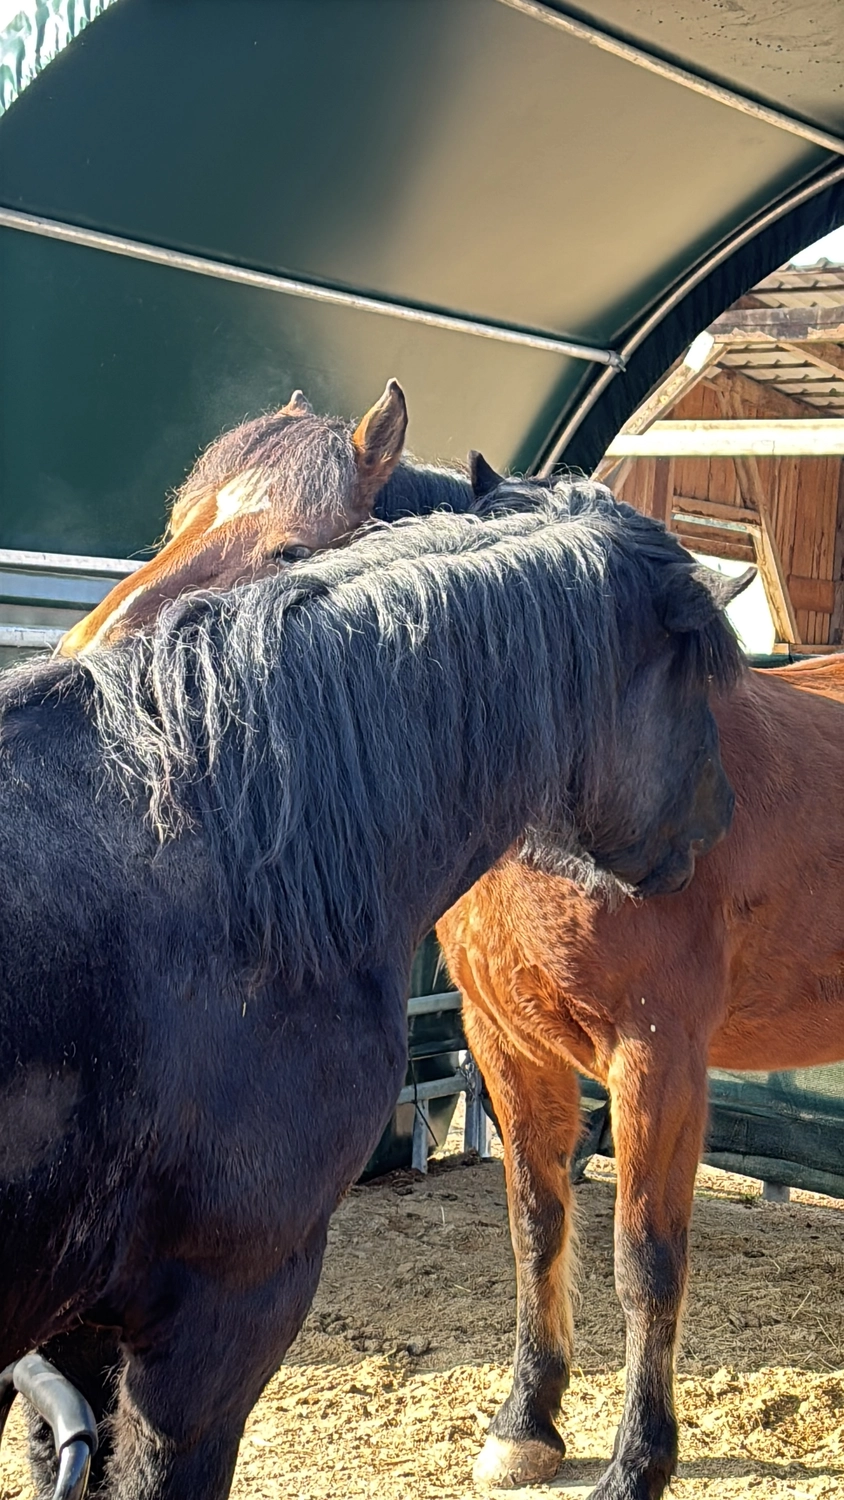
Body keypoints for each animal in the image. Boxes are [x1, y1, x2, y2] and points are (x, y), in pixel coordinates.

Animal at [434, 467, 844, 1500]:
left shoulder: (657, 1058)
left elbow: (646, 1261)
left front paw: (637, 1460)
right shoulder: (508, 1047)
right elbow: (536, 1226)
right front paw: (525, 1424)